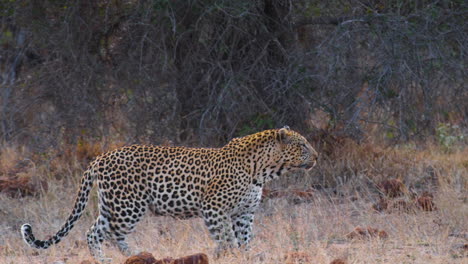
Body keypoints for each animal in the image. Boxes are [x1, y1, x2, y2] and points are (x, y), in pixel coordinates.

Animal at [20, 127, 316, 260]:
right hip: (128, 206)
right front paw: (227, 256)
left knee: (95, 232)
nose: (316, 156)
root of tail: (101, 157)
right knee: (107, 233)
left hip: (113, 205)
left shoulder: (244, 213)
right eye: (302, 145)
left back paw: (124, 257)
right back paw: (127, 257)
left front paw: (245, 256)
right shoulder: (214, 208)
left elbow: (244, 240)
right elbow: (226, 239)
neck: (263, 170)